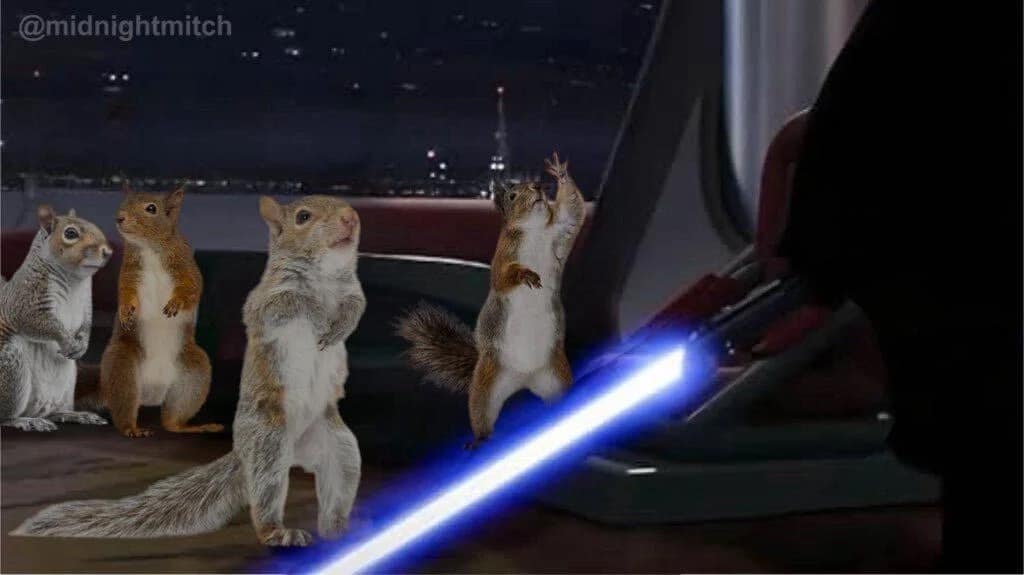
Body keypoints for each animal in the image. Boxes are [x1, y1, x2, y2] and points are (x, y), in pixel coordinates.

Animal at [0, 206, 113, 431]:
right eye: (70, 233)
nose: (108, 252)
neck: (72, 279)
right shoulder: (26, 298)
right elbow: (37, 322)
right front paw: (65, 339)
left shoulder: (86, 303)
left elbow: (86, 324)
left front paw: (82, 344)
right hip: (10, 368)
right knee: (4, 417)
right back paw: (25, 420)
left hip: (68, 382)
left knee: (54, 413)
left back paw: (74, 415)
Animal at [96, 184, 222, 437]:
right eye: (123, 203)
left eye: (151, 209)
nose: (119, 218)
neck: (150, 249)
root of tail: (152, 393)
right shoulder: (128, 274)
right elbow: (125, 294)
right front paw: (125, 311)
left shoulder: (186, 266)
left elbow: (192, 289)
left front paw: (176, 303)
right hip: (122, 368)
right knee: (125, 409)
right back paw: (132, 429)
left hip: (194, 375)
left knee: (171, 421)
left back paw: (192, 427)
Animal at [398, 153, 585, 447]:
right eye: (511, 195)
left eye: (536, 184)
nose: (538, 187)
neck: (534, 231)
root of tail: (524, 379)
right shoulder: (502, 258)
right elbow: (503, 278)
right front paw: (525, 274)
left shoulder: (561, 230)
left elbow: (573, 211)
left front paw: (560, 173)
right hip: (487, 385)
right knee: (480, 412)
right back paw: (480, 439)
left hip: (557, 375)